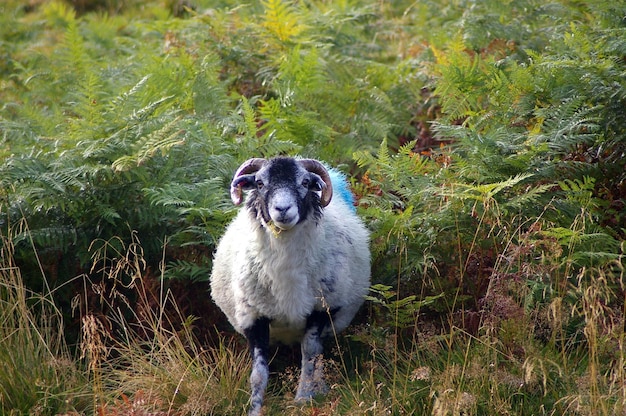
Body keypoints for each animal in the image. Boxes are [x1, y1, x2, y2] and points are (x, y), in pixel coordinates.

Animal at [210, 157, 370, 416]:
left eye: (305, 182)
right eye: (260, 183)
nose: (283, 209)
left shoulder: (320, 310)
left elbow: (310, 356)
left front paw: (304, 398)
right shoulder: (254, 318)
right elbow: (258, 374)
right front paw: (254, 409)